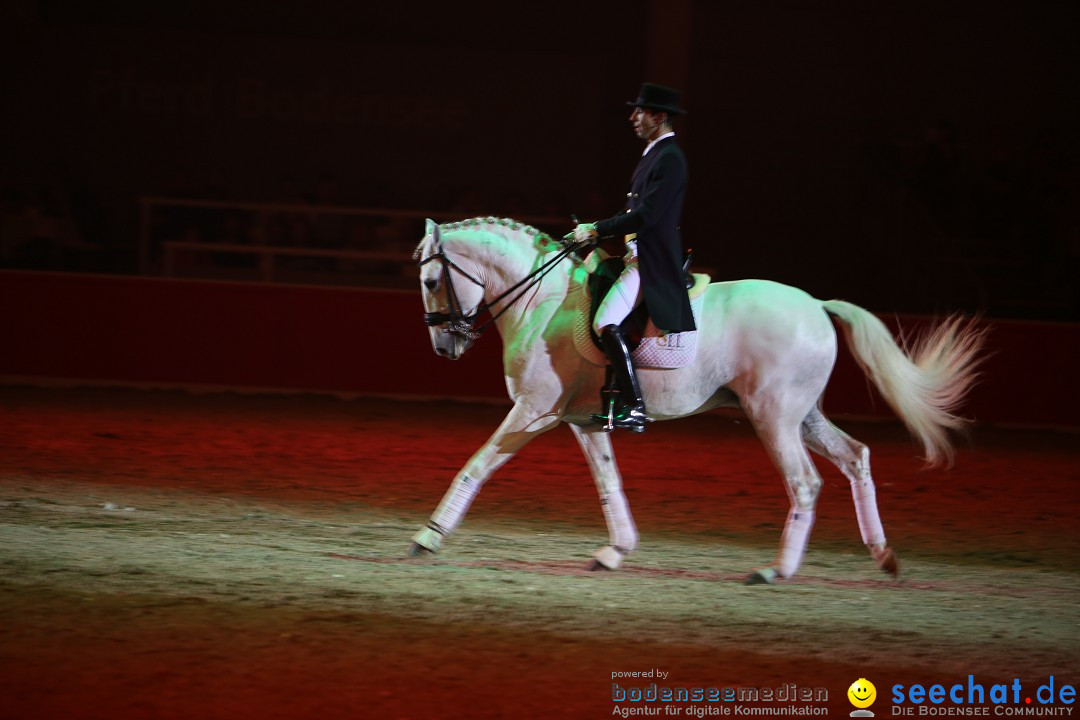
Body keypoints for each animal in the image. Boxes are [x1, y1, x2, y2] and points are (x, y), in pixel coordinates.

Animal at [408, 216, 984, 582]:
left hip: (774, 417)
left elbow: (476, 465)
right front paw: (615, 551)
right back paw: (883, 556)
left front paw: (428, 537)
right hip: (804, 417)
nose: (442, 347)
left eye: (433, 280)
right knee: (856, 457)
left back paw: (777, 570)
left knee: (805, 482)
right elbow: (609, 484)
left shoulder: (533, 411)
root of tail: (817, 305)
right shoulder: (583, 421)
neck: (543, 301)